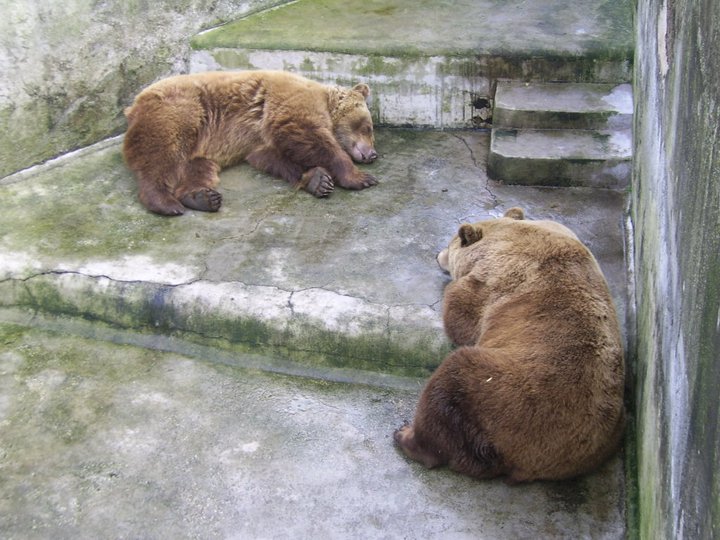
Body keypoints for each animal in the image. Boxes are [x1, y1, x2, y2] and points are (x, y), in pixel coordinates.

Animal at [122, 70, 378, 216]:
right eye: (368, 127)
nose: (372, 153)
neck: (325, 101)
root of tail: (133, 107)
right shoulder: (293, 104)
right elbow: (309, 136)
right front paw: (360, 178)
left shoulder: (258, 140)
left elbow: (274, 158)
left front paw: (318, 180)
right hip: (178, 112)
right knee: (160, 155)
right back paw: (166, 202)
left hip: (200, 149)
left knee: (197, 169)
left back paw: (201, 197)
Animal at [394, 207, 625, 483]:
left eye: (450, 244)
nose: (437, 254)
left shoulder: (493, 280)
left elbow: (462, 312)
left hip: (509, 399)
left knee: (452, 379)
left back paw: (405, 436)